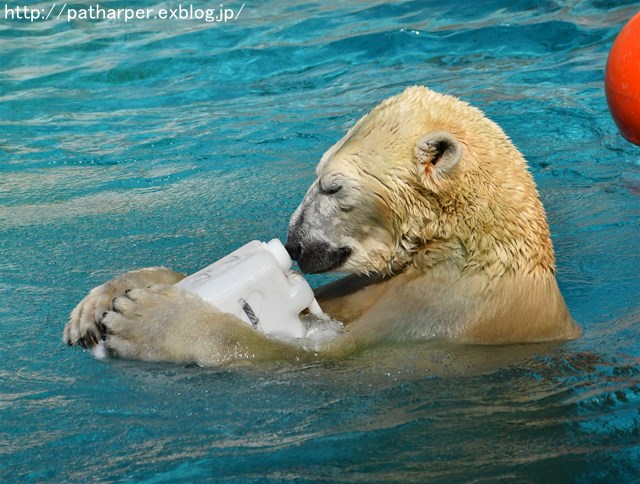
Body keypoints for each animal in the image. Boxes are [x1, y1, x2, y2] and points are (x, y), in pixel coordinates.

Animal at [62, 85, 584, 364]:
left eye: (332, 187)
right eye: (317, 176)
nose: (293, 245)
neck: (467, 253)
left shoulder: (434, 316)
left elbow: (311, 356)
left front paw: (144, 318)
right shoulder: (377, 289)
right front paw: (100, 302)